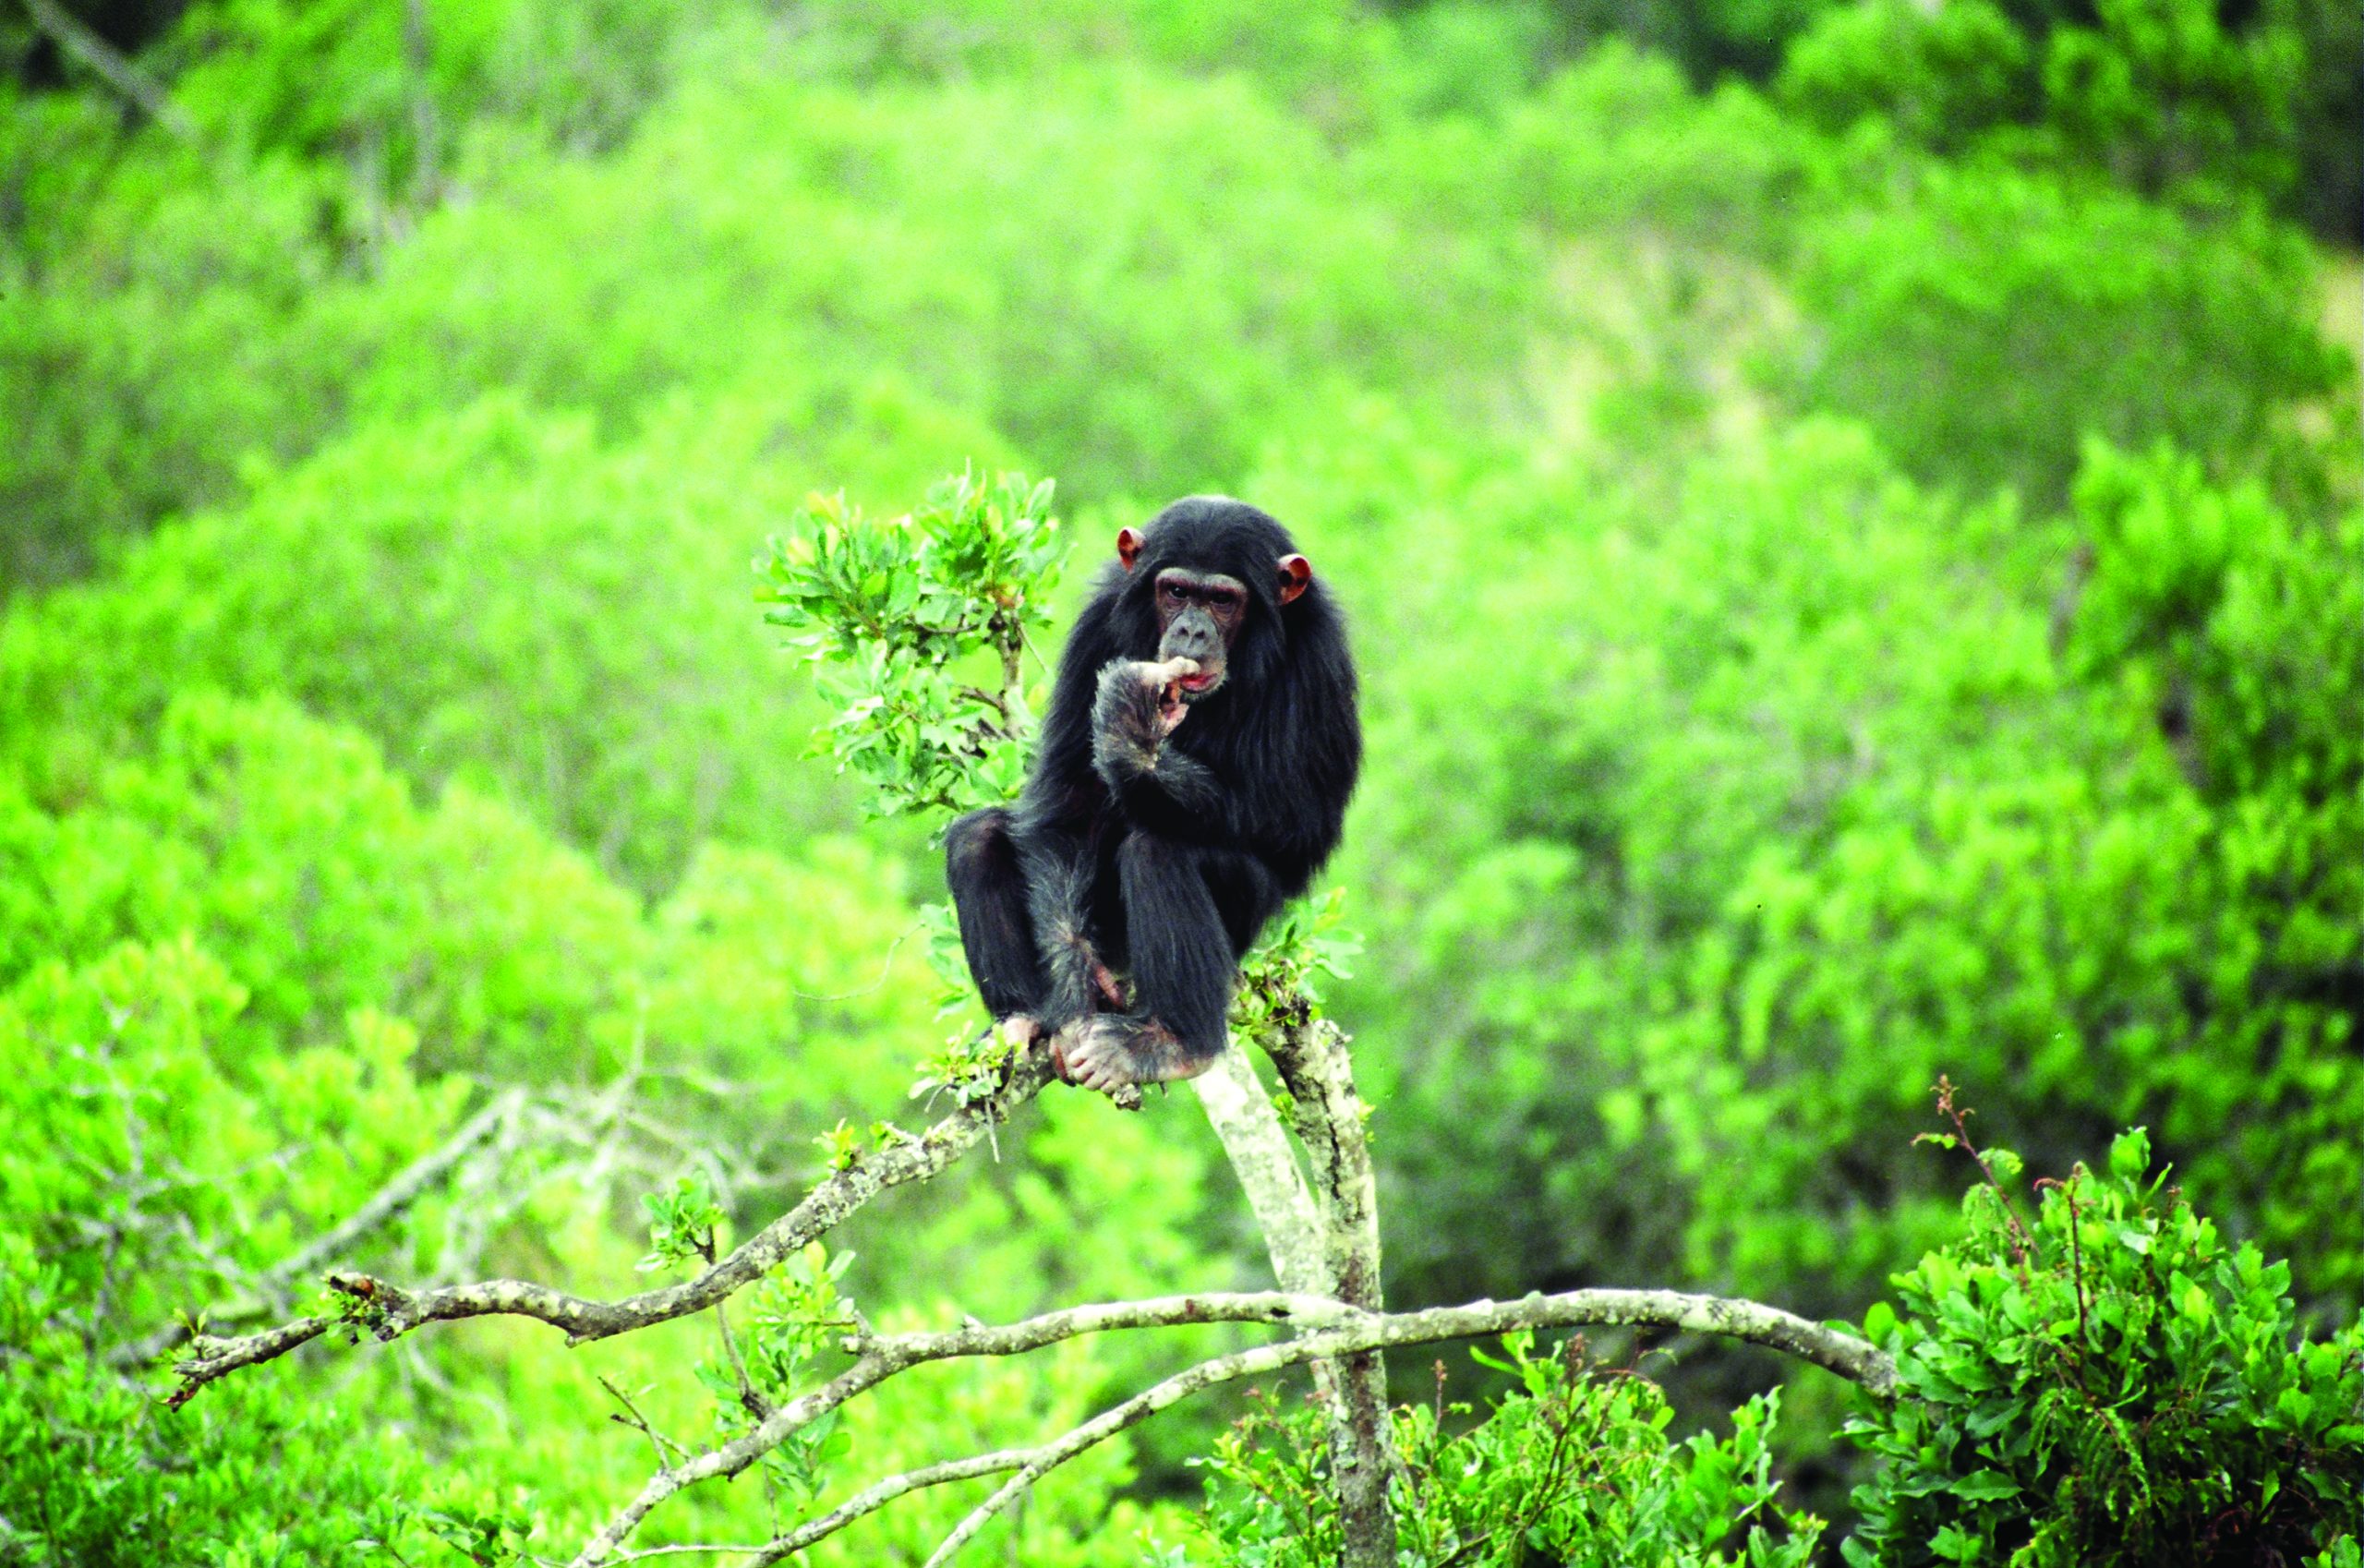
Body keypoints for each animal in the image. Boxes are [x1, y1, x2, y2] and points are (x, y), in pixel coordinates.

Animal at [935, 494, 1361, 1092]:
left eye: (1223, 600)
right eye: (1176, 591)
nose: (1191, 632)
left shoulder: (1321, 658)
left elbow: (1298, 817)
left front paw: (1129, 728)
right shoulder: (1094, 627)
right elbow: (1066, 803)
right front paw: (1072, 1004)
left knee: (1159, 850)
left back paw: (1176, 1045)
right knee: (978, 838)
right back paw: (1022, 1019)